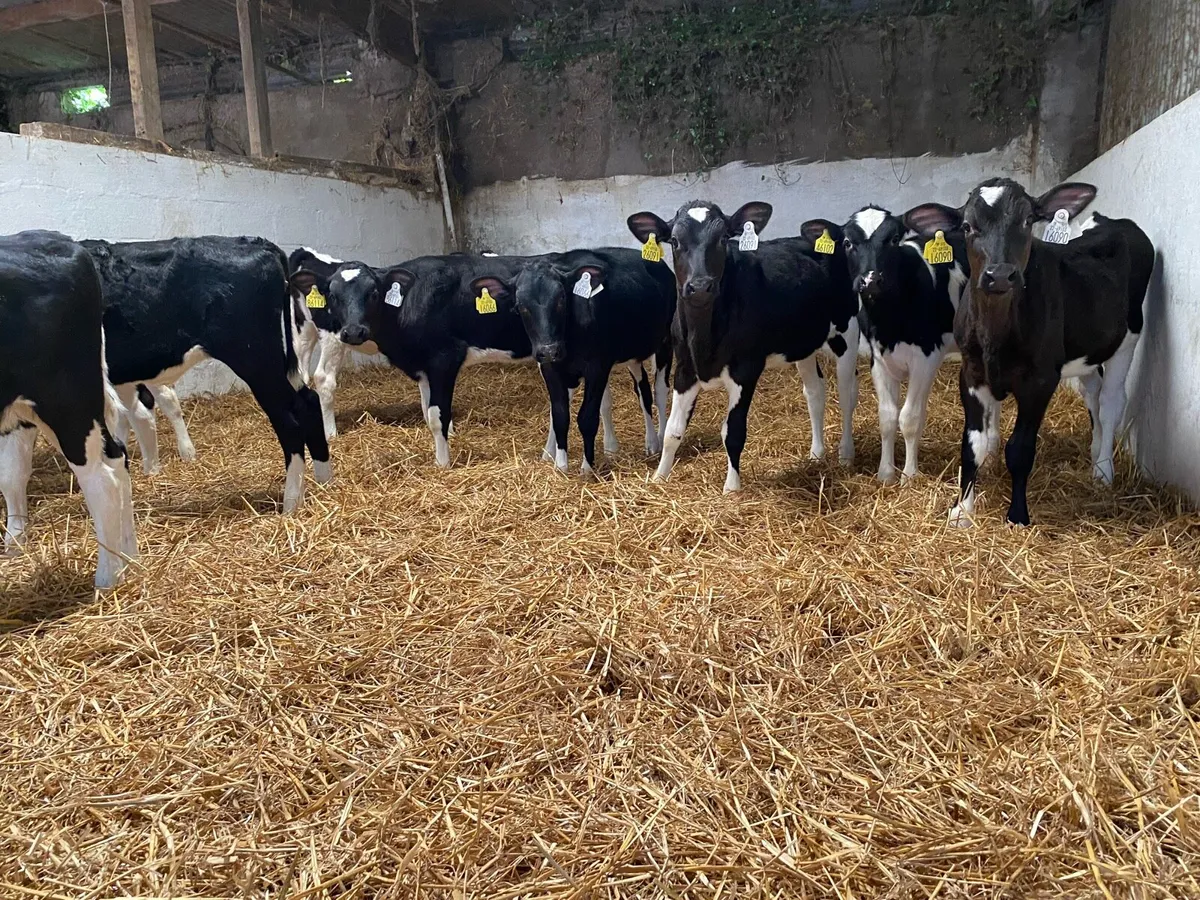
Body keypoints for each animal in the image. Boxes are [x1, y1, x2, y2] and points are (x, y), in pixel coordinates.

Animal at [84, 236, 331, 513]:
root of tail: (256, 242)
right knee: (309, 401)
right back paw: (324, 481)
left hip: (255, 357)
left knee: (291, 418)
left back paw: (290, 504)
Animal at [470, 248, 675, 475]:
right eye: (521, 306)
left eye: (561, 299)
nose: (549, 349)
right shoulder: (551, 368)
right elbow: (560, 416)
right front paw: (561, 467)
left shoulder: (597, 367)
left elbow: (588, 417)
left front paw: (587, 468)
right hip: (632, 354)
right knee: (643, 390)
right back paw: (648, 443)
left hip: (665, 341)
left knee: (660, 390)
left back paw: (659, 439)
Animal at [626, 201, 861, 492]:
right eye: (675, 241)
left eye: (723, 238)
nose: (700, 286)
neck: (704, 340)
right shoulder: (685, 369)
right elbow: (673, 430)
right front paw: (659, 478)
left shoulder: (745, 370)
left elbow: (733, 431)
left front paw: (731, 488)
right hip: (802, 344)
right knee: (815, 391)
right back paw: (816, 454)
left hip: (847, 333)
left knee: (847, 395)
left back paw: (846, 455)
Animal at [805, 206, 971, 483]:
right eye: (848, 243)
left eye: (894, 239)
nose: (870, 280)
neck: (890, 322)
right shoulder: (879, 360)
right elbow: (888, 416)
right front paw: (885, 473)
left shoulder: (926, 359)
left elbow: (911, 418)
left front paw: (909, 476)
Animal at [904, 178, 1154, 525]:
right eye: (967, 225)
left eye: (1027, 220)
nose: (999, 274)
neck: (996, 336)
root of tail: (1111, 221)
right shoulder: (971, 372)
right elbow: (972, 445)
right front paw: (962, 511)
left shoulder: (1041, 380)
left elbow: (1020, 449)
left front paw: (1017, 515)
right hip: (1086, 352)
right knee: (1092, 392)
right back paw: (1094, 455)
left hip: (1128, 337)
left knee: (1111, 401)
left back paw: (1104, 471)